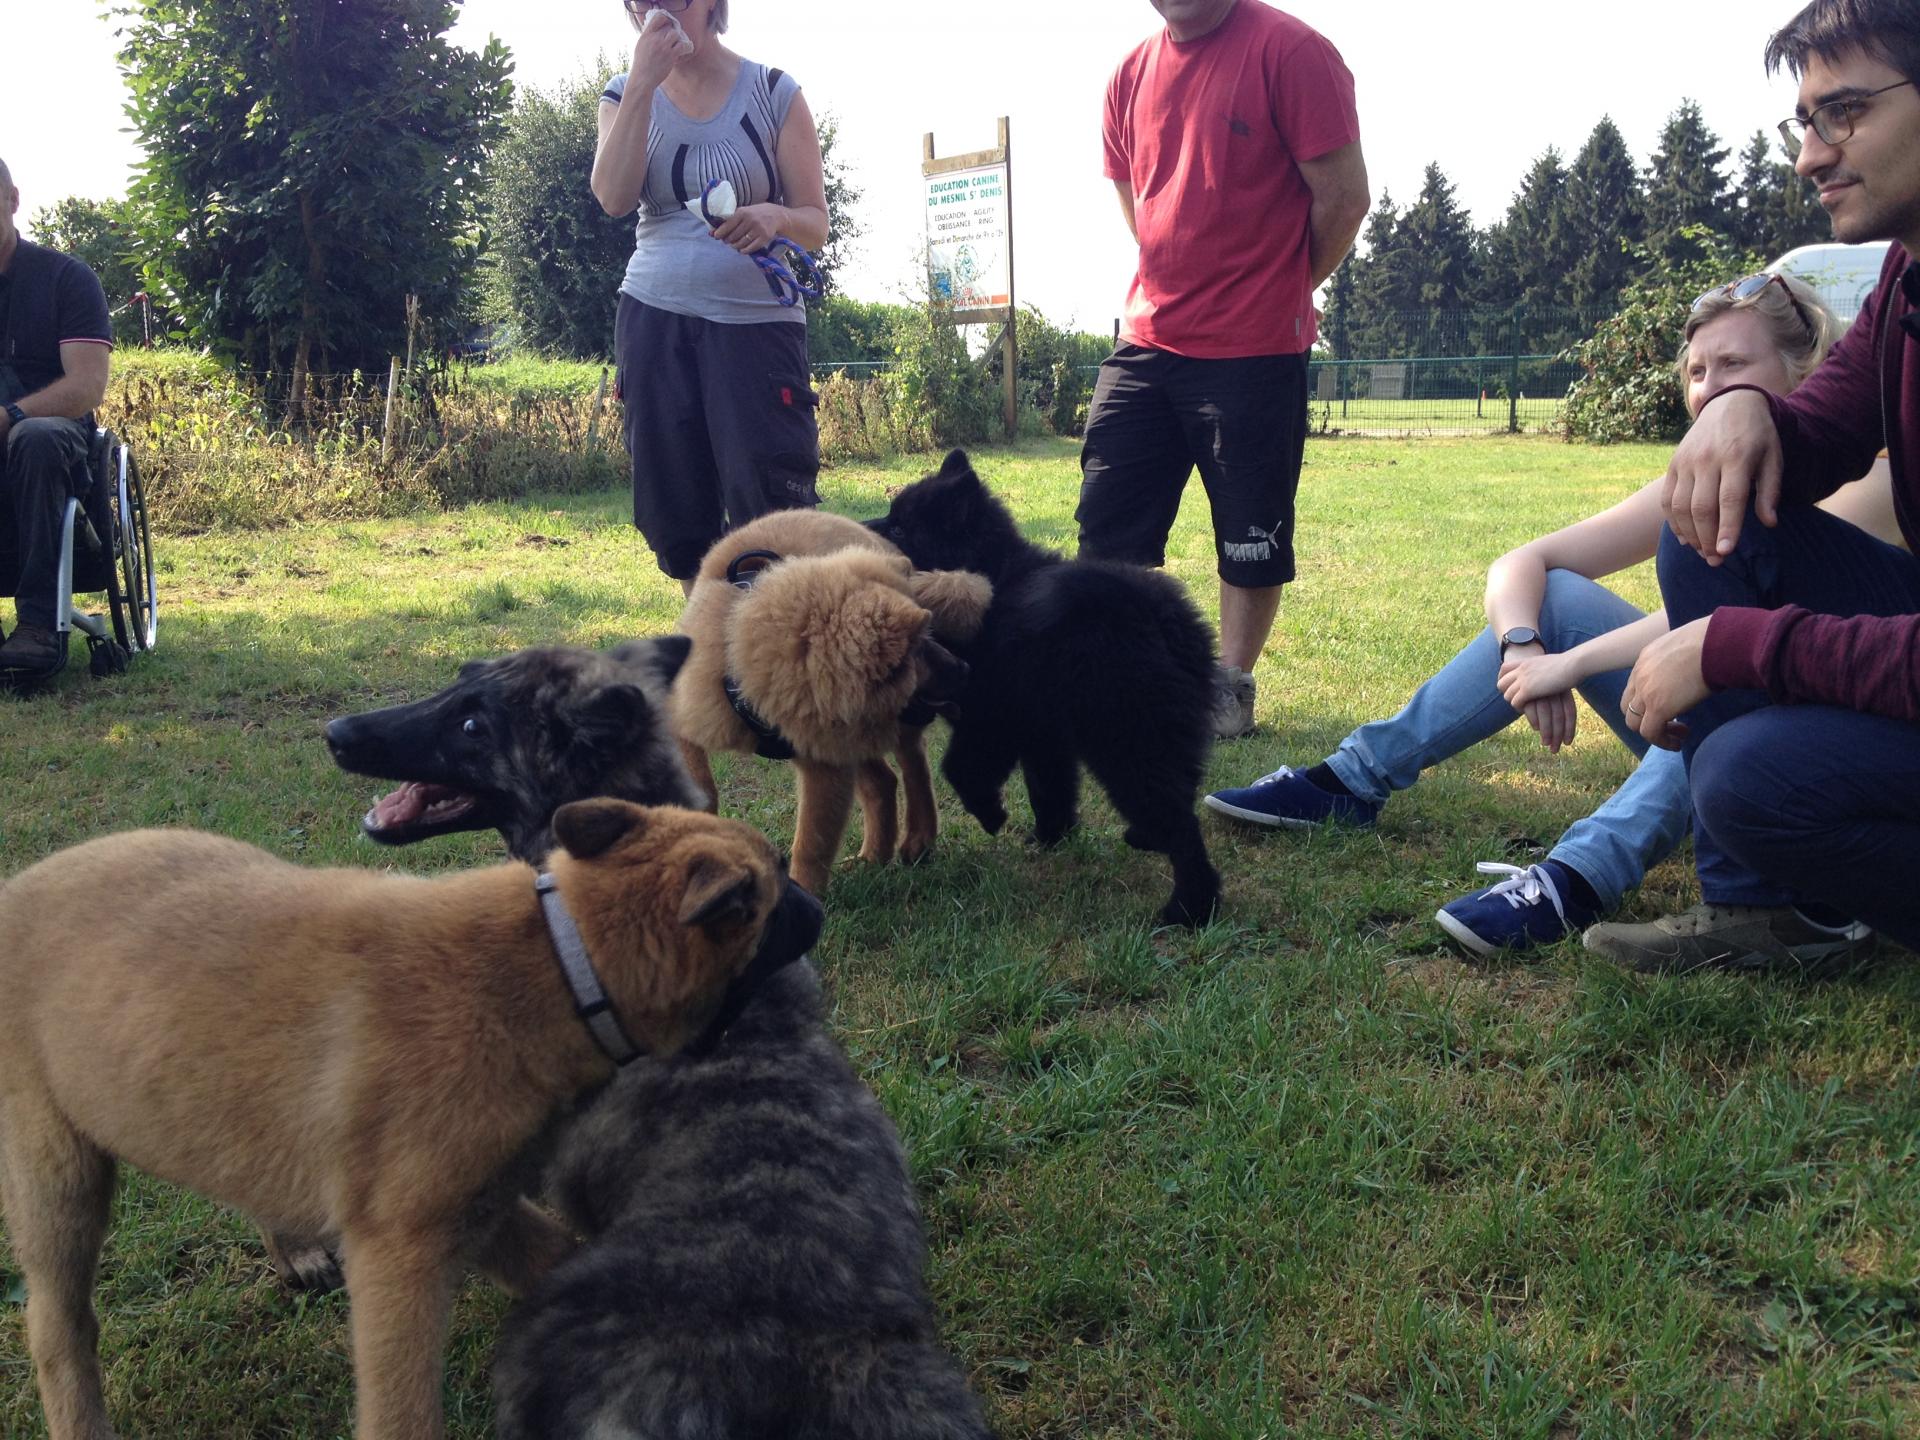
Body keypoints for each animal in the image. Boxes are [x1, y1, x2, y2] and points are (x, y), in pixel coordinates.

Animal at [0, 802, 817, 1440]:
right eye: (777, 890)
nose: (818, 903)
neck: (561, 956)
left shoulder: (480, 1206)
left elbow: (562, 1262)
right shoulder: (402, 1253)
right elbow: (402, 1409)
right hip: (58, 1173)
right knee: (58, 1324)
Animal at [867, 445, 1221, 929]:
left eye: (901, 528)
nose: (861, 528)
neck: (991, 577)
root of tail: (1159, 617)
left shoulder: (991, 716)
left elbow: (959, 769)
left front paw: (992, 815)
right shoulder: (1041, 730)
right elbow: (1048, 785)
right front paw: (1051, 836)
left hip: (1128, 742)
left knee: (1181, 825)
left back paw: (1189, 909)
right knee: (1179, 796)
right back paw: (1146, 840)